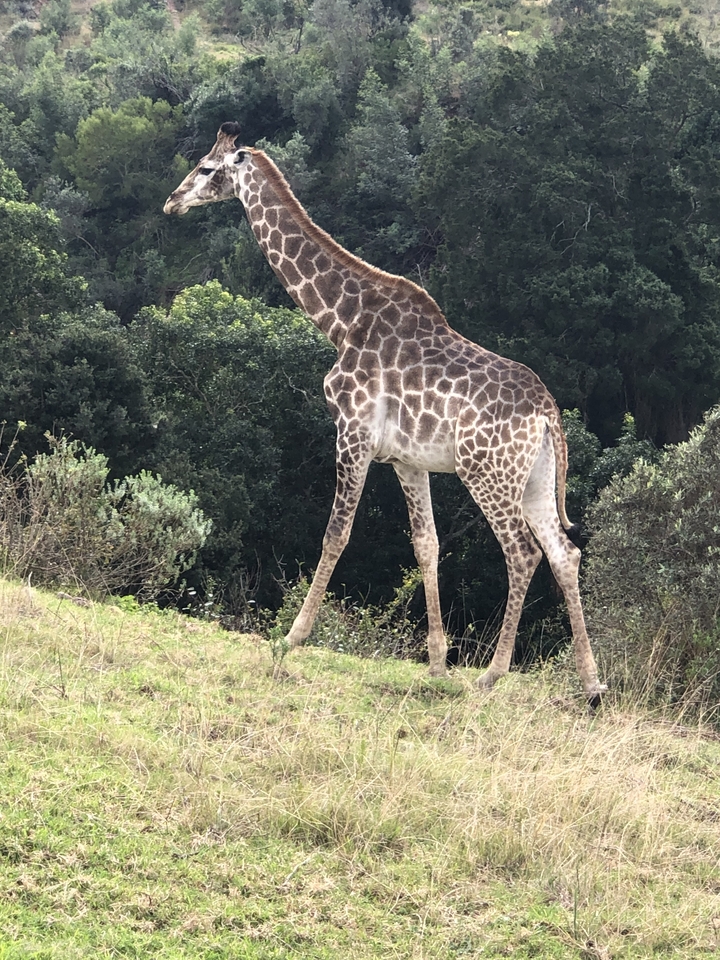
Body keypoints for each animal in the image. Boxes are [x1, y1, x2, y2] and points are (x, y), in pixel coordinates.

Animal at [164, 122, 607, 704]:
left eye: (207, 167)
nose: (171, 201)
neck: (340, 320)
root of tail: (548, 416)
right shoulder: (407, 460)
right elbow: (426, 545)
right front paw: (437, 663)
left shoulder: (352, 433)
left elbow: (336, 533)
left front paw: (293, 637)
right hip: (532, 479)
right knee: (563, 553)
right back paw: (591, 683)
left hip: (486, 472)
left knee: (523, 552)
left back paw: (493, 673)